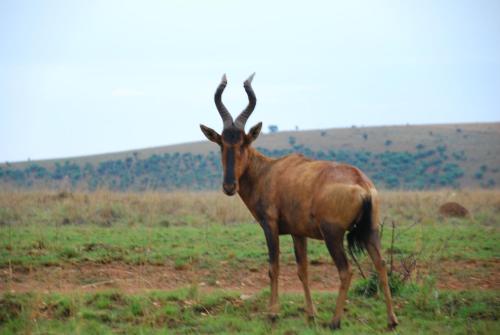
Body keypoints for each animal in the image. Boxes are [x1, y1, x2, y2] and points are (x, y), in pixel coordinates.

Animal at [199, 74, 398, 330]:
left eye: (244, 142)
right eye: (221, 143)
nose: (229, 186)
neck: (269, 171)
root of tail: (361, 183)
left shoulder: (270, 226)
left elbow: (273, 267)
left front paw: (273, 314)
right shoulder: (298, 233)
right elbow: (302, 270)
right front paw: (310, 314)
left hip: (333, 234)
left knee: (346, 270)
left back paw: (335, 321)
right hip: (370, 230)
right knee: (381, 265)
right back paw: (391, 320)